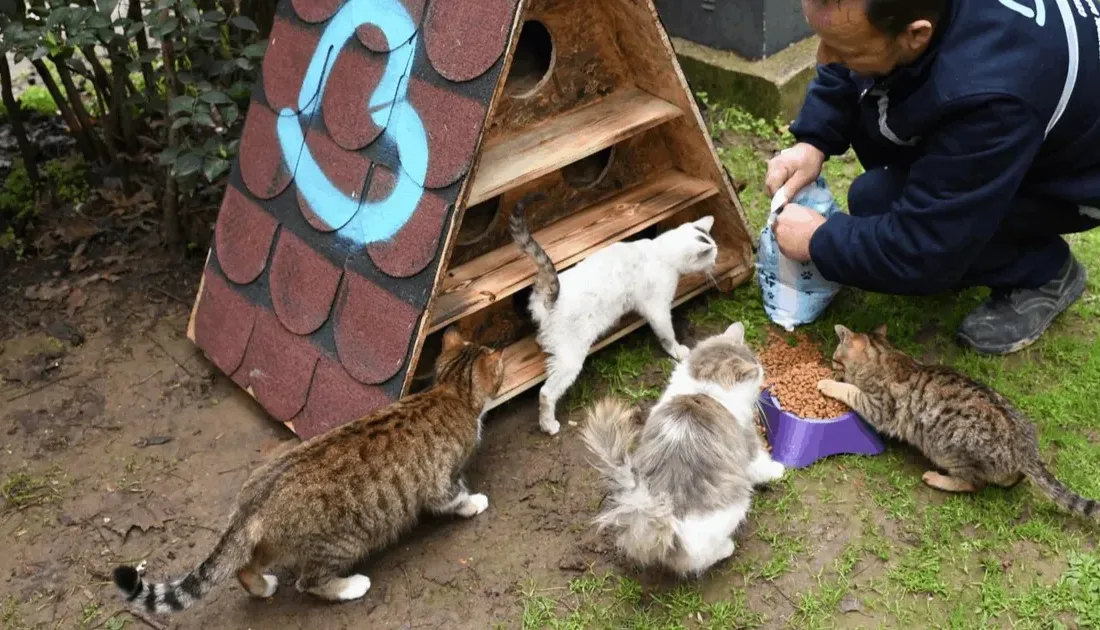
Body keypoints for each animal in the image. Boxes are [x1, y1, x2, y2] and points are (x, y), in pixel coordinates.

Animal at [111, 329, 506, 615]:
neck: (450, 391)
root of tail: (253, 502)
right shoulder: (440, 481)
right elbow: (454, 497)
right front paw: (474, 502)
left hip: (272, 541)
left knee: (243, 566)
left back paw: (263, 586)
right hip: (342, 542)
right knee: (308, 582)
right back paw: (350, 586)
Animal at [508, 194, 717, 435]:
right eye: (712, 257)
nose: (716, 265)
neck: (660, 251)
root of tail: (553, 294)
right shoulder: (658, 308)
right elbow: (667, 335)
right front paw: (677, 350)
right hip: (570, 359)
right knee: (546, 393)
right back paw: (548, 425)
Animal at [580, 323, 787, 576]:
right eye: (758, 373)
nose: (763, 377)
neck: (702, 390)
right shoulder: (748, 443)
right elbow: (762, 465)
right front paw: (779, 470)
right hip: (736, 507)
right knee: (701, 559)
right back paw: (727, 548)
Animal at [822, 323, 1095, 521]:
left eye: (835, 358)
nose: (831, 366)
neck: (884, 355)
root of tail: (1026, 450)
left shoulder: (879, 408)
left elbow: (851, 390)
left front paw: (828, 383)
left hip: (949, 451)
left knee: (974, 483)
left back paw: (936, 478)